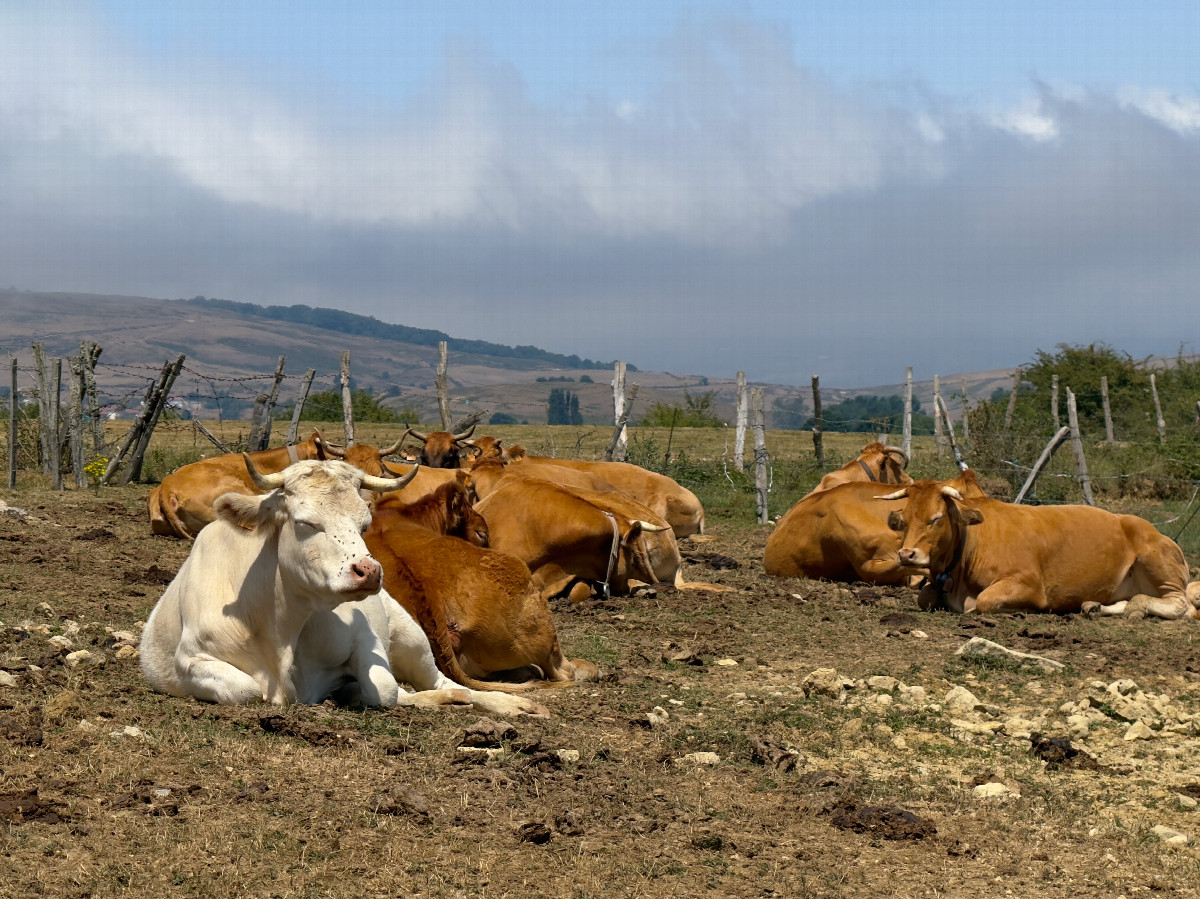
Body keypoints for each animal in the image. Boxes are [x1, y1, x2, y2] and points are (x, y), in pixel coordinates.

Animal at [140, 457, 547, 716]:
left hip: (412, 639)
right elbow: (249, 690)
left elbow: (385, 688)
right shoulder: (192, 658)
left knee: (444, 684)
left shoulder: (364, 635)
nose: (368, 572)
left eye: (364, 524)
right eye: (305, 522)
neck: (281, 623)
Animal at [880, 471, 1200, 620]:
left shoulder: (1028, 584)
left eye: (935, 519)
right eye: (903, 519)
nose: (907, 555)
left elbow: (984, 601)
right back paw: (1097, 606)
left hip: (1156, 561)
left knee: (1181, 605)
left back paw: (1138, 606)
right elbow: (924, 597)